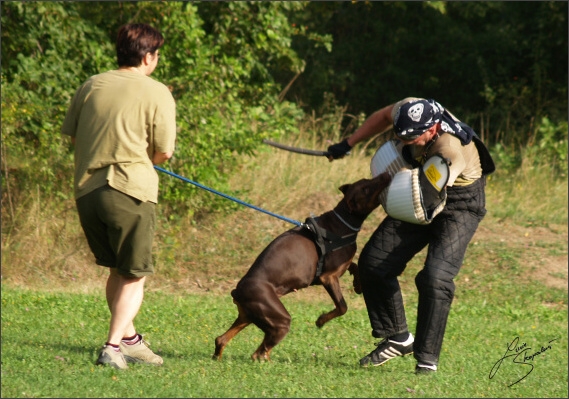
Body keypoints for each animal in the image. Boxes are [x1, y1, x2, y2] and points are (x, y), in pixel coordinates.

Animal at [212, 173, 390, 362]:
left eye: (366, 180)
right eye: (366, 188)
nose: (385, 174)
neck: (343, 222)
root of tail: (237, 291)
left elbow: (354, 265)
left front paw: (358, 285)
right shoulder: (328, 277)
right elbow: (343, 307)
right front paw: (321, 320)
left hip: (249, 316)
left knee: (222, 339)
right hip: (279, 319)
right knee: (258, 353)